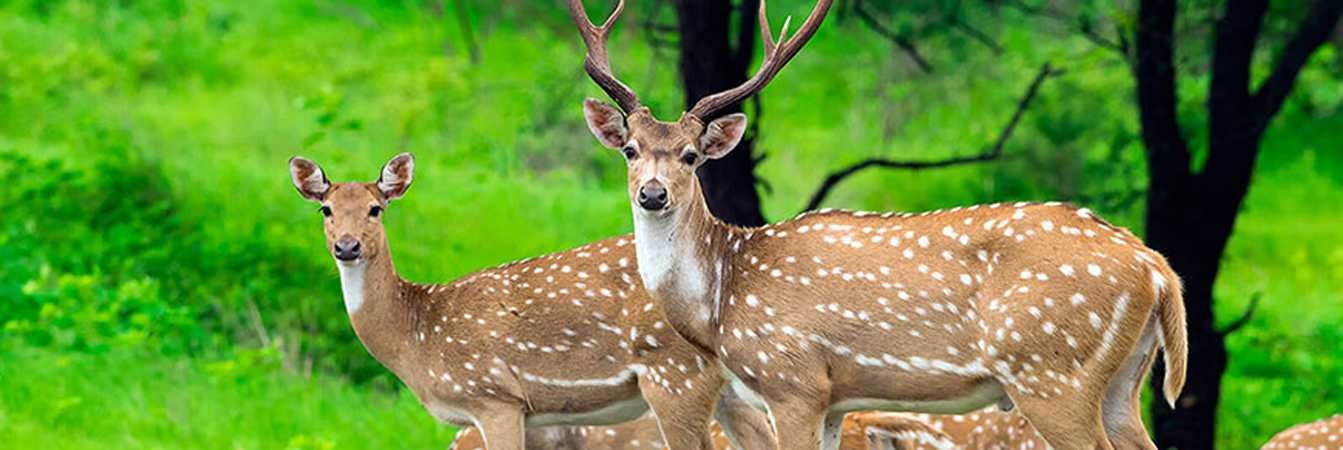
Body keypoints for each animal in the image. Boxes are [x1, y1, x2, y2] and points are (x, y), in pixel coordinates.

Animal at [287, 153, 776, 450]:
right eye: (326, 210)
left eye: (376, 208)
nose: (347, 246)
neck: (417, 337)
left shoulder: (493, 396)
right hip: (729, 389)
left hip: (675, 374)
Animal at [567, 0, 1188, 448]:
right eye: (629, 149)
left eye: (692, 155)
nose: (652, 194)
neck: (721, 303)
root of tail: (1157, 269)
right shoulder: (835, 401)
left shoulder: (794, 380)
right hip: (1121, 382)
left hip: (1051, 371)